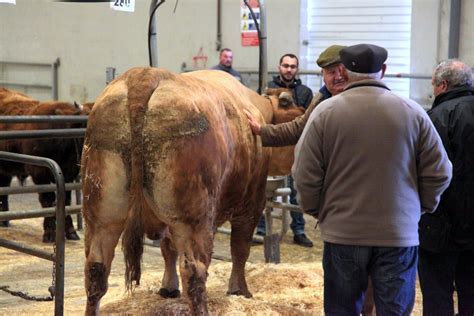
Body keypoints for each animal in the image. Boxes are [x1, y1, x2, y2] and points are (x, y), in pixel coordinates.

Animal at [80, 68, 304, 314]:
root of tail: (146, 74)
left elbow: (168, 248)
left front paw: (168, 288)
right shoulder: (252, 202)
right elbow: (240, 247)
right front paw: (239, 290)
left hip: (102, 214)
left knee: (96, 270)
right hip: (193, 217)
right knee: (195, 271)